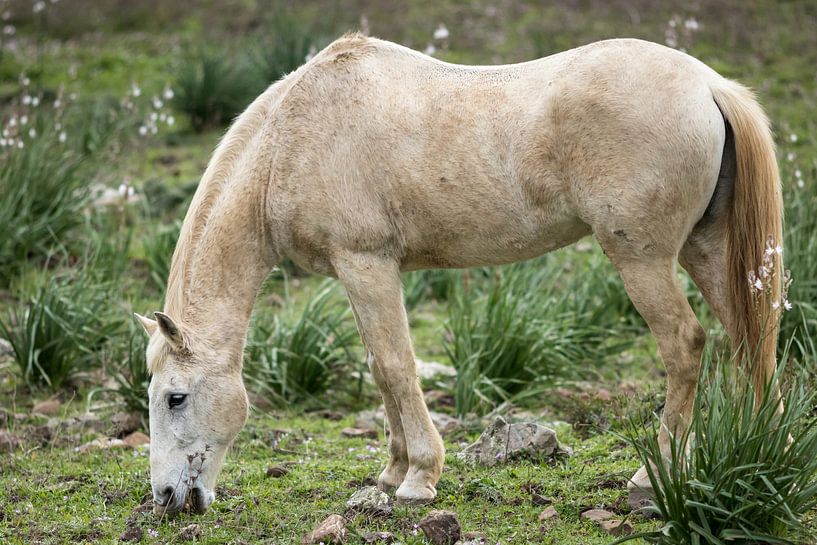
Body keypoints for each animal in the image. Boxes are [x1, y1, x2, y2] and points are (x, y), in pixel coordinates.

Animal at [135, 32, 783, 515]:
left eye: (174, 397)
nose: (165, 497)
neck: (291, 139)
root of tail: (707, 83)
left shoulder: (365, 264)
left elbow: (397, 366)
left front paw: (419, 477)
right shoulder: (361, 274)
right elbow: (380, 367)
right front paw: (389, 472)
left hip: (642, 260)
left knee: (686, 344)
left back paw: (654, 476)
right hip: (704, 248)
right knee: (751, 338)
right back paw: (759, 445)